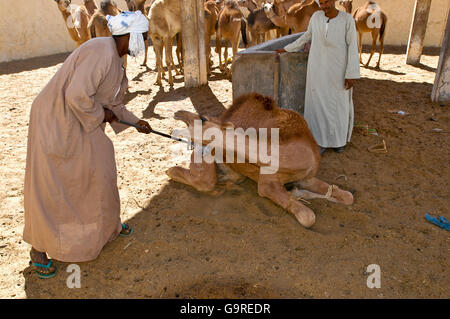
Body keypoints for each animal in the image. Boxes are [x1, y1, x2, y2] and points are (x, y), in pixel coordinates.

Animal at [167, 94, 354, 229]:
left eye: (203, 118)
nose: (178, 113)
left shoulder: (307, 177)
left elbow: (348, 196)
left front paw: (298, 192)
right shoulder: (267, 184)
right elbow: (308, 216)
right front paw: (296, 194)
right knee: (202, 181)